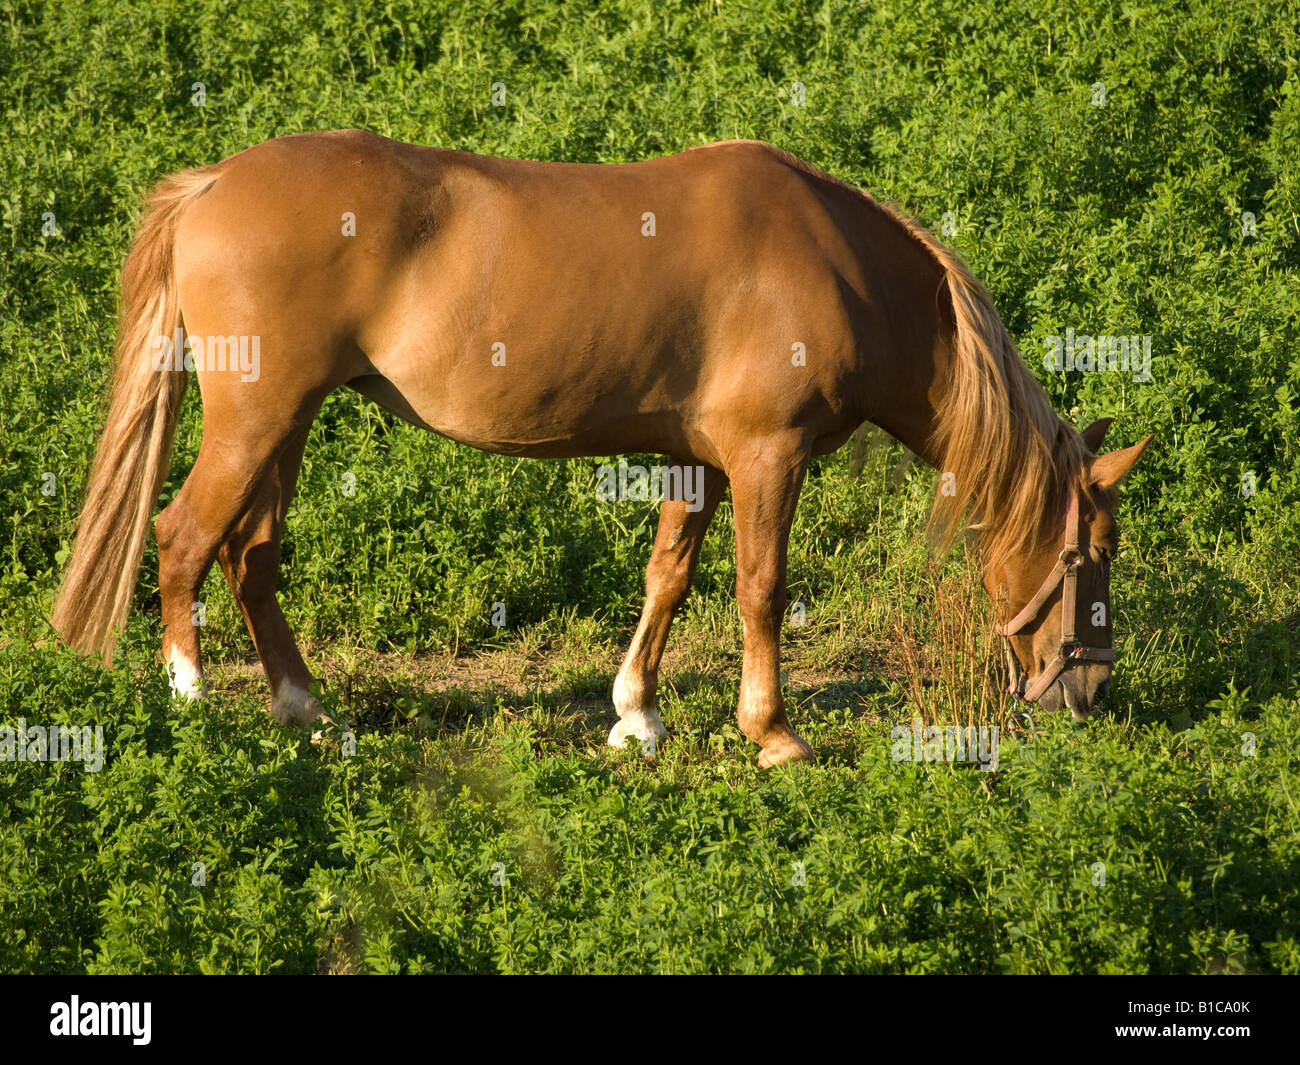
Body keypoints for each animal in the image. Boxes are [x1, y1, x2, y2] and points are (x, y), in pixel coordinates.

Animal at [51, 130, 1151, 768]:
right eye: (1089, 554)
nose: (1090, 692)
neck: (840, 268)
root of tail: (212, 184)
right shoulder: (768, 458)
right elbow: (760, 590)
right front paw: (772, 733)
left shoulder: (700, 461)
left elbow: (668, 577)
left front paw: (636, 715)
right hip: (255, 419)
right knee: (182, 538)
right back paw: (192, 695)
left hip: (288, 424)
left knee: (251, 556)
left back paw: (302, 706)